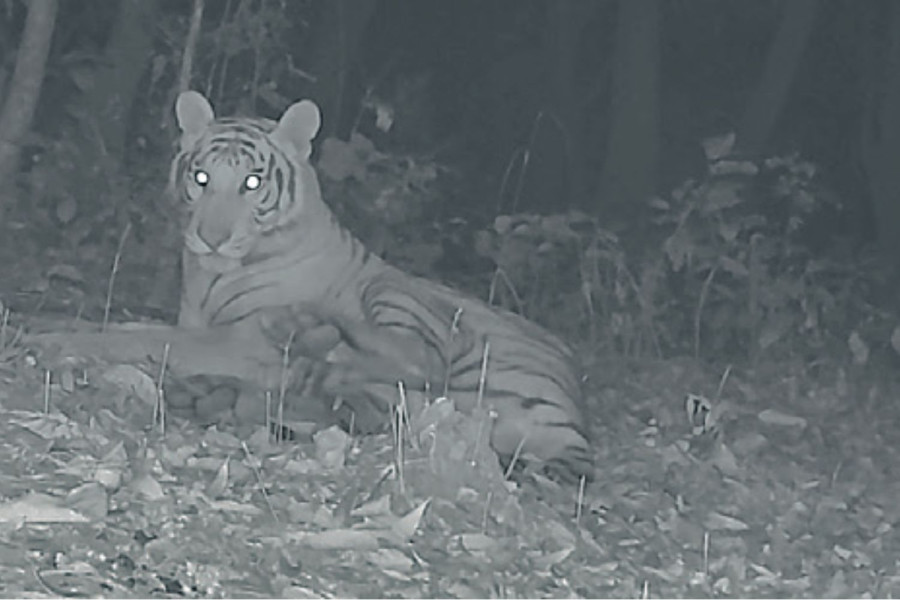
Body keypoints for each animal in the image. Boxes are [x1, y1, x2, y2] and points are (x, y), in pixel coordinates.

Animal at [142, 91, 596, 478]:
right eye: (201, 178)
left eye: (252, 183)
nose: (211, 238)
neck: (211, 273)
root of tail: (575, 408)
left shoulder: (239, 334)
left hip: (399, 294)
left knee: (415, 362)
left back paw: (306, 337)